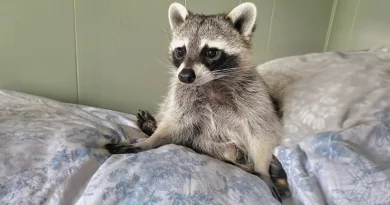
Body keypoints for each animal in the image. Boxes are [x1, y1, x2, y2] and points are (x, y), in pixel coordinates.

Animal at [106, 2, 286, 202]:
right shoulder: (181, 96)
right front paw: (149, 141)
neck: (211, 82)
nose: (185, 76)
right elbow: (174, 125)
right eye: (180, 51)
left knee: (227, 148)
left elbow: (262, 133)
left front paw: (263, 170)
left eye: (211, 52)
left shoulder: (254, 97)